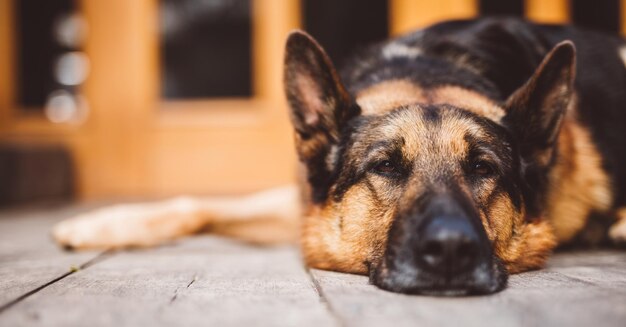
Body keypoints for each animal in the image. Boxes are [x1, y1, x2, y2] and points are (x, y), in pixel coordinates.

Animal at [52, 16, 624, 296]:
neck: (428, 69)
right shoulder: (304, 204)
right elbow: (197, 203)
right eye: (385, 166)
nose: (450, 250)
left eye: (483, 169)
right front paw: (102, 224)